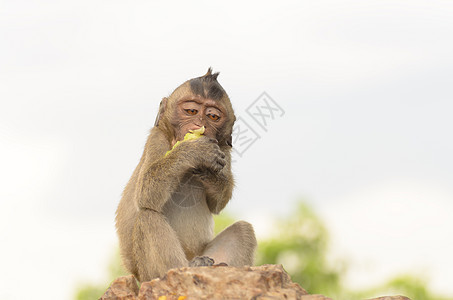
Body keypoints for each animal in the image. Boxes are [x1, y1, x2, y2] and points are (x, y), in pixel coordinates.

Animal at [115, 68, 256, 284]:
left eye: (213, 116)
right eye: (191, 111)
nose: (199, 124)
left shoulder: (224, 149)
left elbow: (217, 204)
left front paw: (208, 172)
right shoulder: (157, 138)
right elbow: (145, 192)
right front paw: (194, 152)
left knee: (243, 229)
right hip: (148, 274)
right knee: (147, 216)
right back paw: (181, 269)